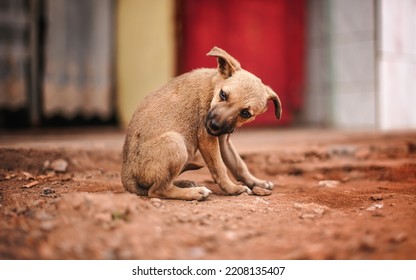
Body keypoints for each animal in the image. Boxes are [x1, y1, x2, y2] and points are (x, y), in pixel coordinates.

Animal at [121, 47, 282, 200]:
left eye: (245, 113)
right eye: (223, 94)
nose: (214, 125)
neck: (214, 85)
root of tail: (126, 177)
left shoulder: (223, 139)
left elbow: (238, 164)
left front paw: (256, 182)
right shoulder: (207, 139)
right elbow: (220, 167)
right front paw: (234, 189)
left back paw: (186, 184)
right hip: (176, 142)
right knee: (157, 190)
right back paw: (195, 192)